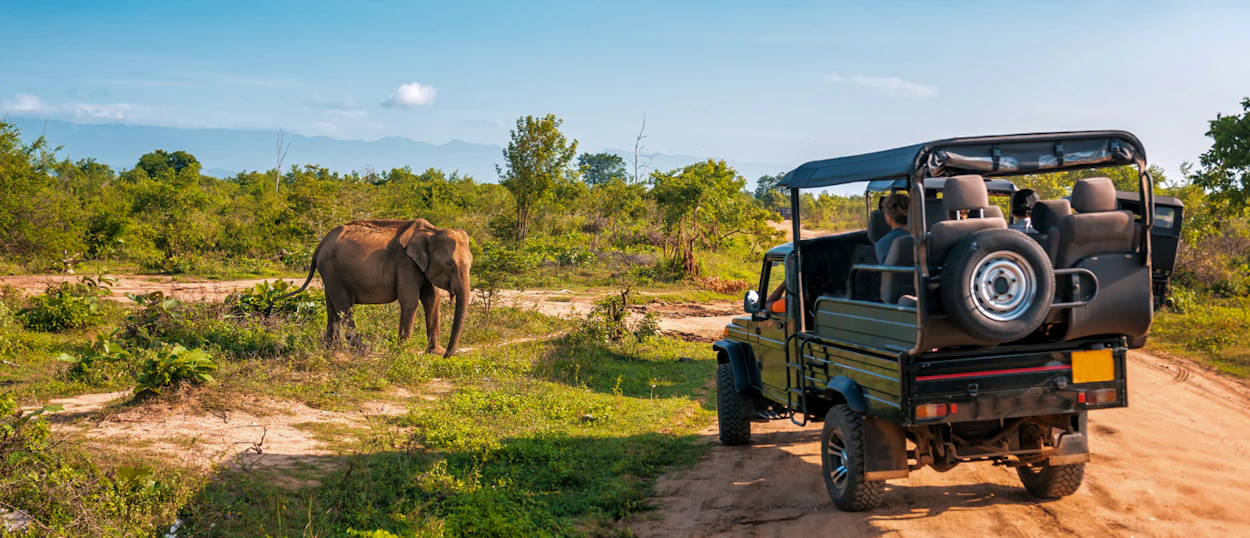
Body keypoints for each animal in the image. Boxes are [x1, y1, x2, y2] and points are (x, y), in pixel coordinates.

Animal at [279, 219, 472, 357]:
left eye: (471, 263)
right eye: (449, 264)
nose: (447, 355)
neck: (432, 230)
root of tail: (319, 246)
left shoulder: (420, 267)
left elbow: (432, 299)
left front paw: (435, 352)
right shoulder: (406, 263)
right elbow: (410, 301)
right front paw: (403, 352)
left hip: (329, 273)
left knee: (332, 307)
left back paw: (330, 348)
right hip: (332, 270)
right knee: (344, 306)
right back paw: (362, 349)